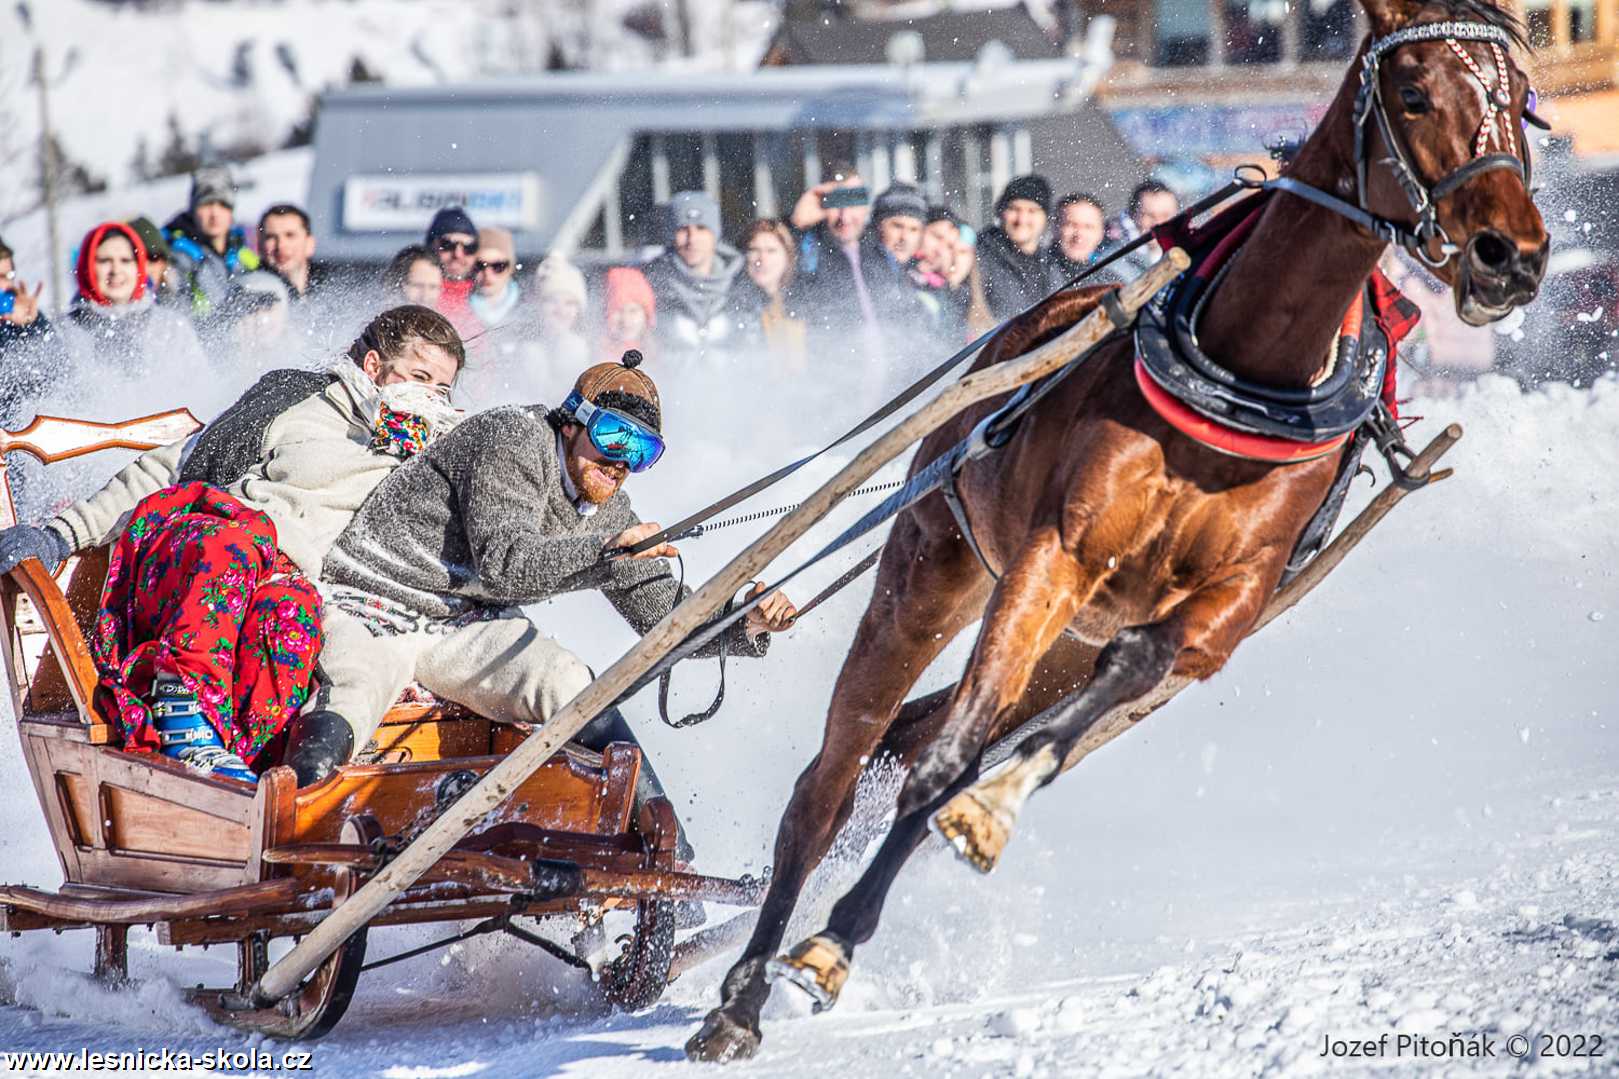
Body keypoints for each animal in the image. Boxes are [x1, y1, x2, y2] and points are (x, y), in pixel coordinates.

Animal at [683, 0, 1541, 1056]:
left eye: (1522, 99)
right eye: (1413, 90)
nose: (1513, 253)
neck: (1248, 368)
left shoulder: (1226, 605)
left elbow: (1121, 670)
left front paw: (990, 809)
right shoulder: (1052, 558)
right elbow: (942, 760)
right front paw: (839, 927)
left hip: (1057, 645)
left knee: (928, 735)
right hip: (931, 566)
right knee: (836, 776)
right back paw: (740, 992)